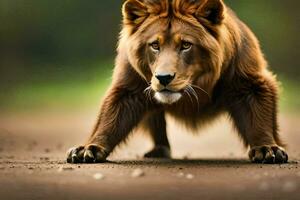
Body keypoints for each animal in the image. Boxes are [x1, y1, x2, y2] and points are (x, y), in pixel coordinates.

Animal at [67, 0, 288, 164]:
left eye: (186, 45)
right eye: (154, 45)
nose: (163, 78)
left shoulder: (250, 83)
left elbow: (258, 120)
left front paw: (267, 149)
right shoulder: (129, 87)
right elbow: (109, 119)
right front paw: (89, 148)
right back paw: (159, 150)